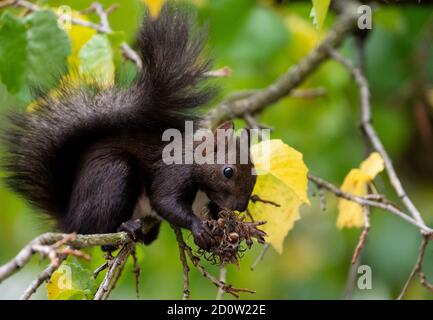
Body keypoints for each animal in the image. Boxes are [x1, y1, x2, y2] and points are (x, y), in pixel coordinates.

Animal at [0, 3, 260, 250]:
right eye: (228, 171)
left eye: (255, 172)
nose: (240, 206)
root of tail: (69, 219)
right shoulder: (173, 172)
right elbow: (165, 202)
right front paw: (199, 227)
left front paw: (236, 226)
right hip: (112, 176)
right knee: (97, 231)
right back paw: (123, 228)